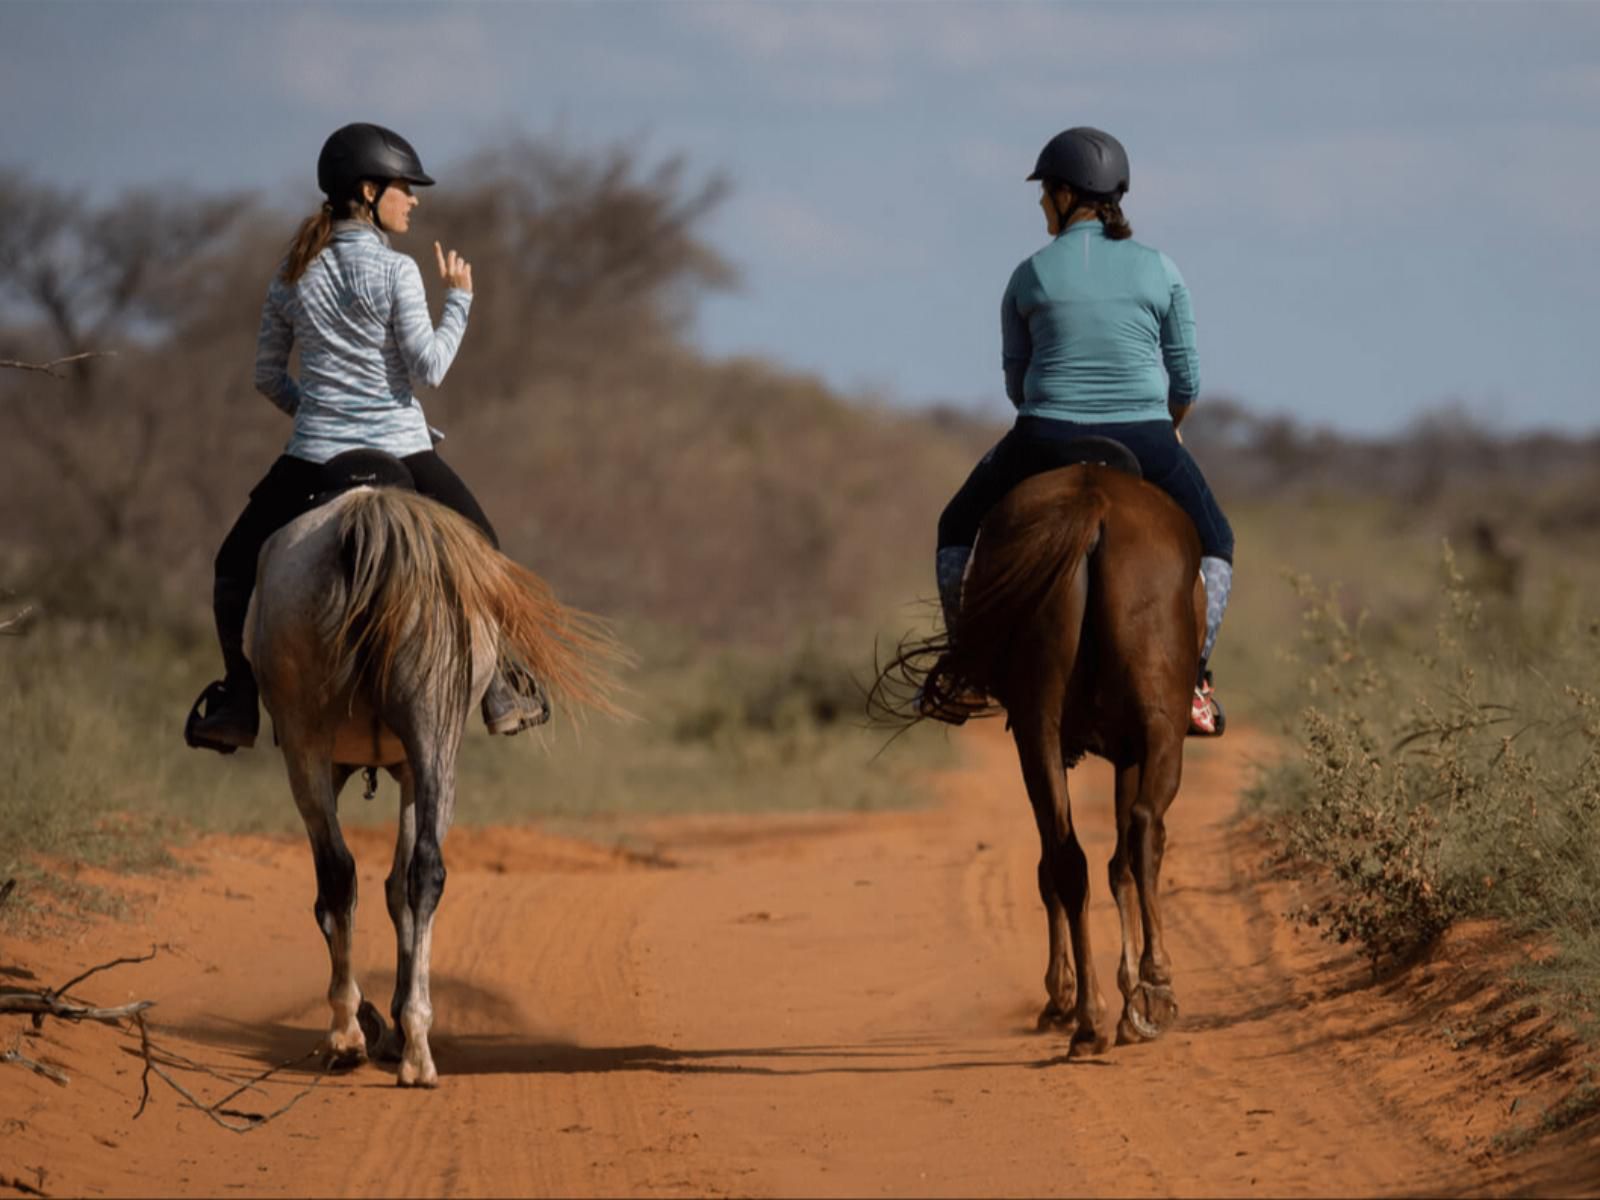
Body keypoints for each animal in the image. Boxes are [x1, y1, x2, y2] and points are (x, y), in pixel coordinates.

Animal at [246, 483, 620, 1088]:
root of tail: (370, 515)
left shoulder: (373, 768)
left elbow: (367, 890)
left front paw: (379, 1021)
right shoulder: (400, 769)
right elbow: (393, 886)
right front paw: (392, 1022)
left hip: (317, 738)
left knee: (347, 870)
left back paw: (351, 1032)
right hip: (433, 732)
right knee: (422, 870)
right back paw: (414, 1048)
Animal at [876, 464, 1203, 1056]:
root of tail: (1093, 504)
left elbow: (1094, 863)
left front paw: (1095, 994)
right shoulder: (1130, 750)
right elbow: (1121, 859)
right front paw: (1119, 989)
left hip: (1038, 726)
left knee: (1069, 857)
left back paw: (1093, 1019)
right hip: (1155, 725)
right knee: (1139, 831)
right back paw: (1146, 993)